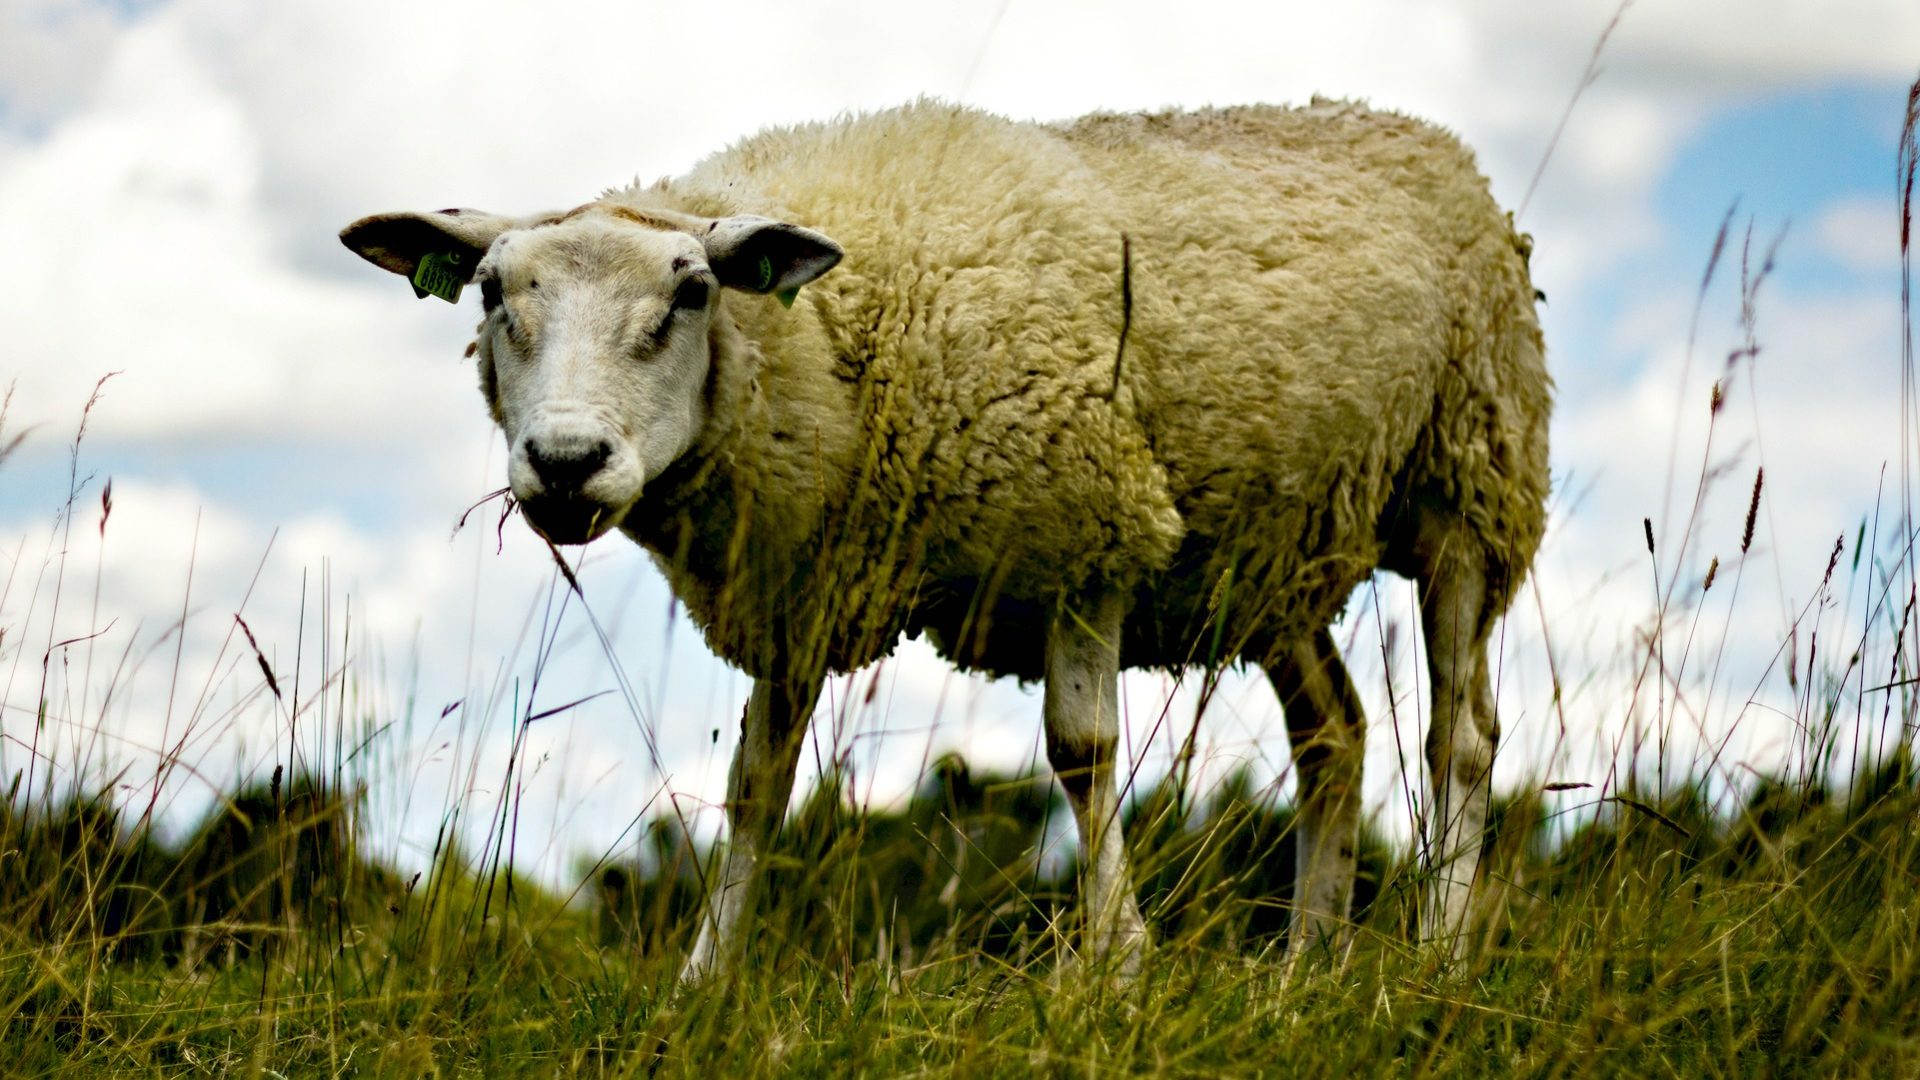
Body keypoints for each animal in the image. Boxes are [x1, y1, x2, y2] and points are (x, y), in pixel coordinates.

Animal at [341, 96, 1543, 980]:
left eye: (689, 294)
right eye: (490, 291)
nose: (566, 461)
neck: (836, 337)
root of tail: (1417, 131)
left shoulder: (1087, 534)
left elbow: (1083, 752)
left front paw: (1115, 966)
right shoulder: (803, 584)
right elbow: (756, 786)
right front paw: (704, 980)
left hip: (1467, 483)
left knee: (1461, 736)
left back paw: (1437, 954)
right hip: (1277, 553)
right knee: (1333, 735)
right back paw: (1304, 972)